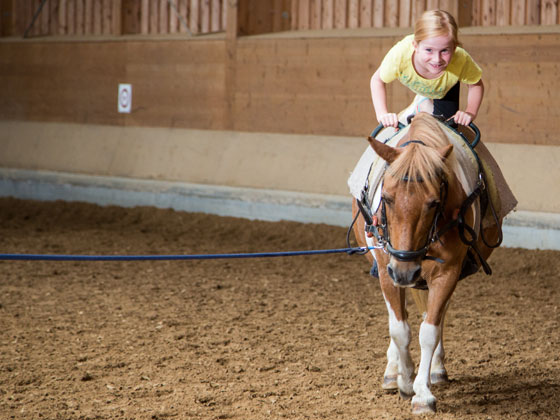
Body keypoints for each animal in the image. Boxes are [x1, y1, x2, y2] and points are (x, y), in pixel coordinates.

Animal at [350, 112, 504, 416]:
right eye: (387, 198)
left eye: (433, 203)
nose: (405, 270)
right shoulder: (388, 271)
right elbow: (399, 329)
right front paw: (404, 379)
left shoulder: (447, 272)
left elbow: (429, 331)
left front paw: (422, 392)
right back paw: (393, 370)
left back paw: (435, 369)